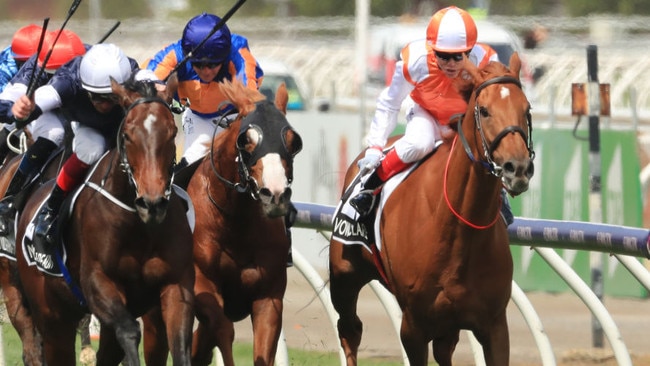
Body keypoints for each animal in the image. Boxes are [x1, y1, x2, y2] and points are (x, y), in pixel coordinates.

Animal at [14, 73, 192, 366]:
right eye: (128, 135)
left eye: (172, 133)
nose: (152, 204)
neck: (139, 226)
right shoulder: (97, 282)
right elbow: (130, 331)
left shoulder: (176, 284)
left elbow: (180, 345)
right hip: (51, 316)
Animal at [185, 78, 302, 364]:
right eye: (246, 140)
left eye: (293, 141)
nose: (275, 194)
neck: (235, 222)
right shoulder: (202, 282)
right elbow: (223, 330)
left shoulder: (269, 296)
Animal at [332, 53, 536, 364]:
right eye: (485, 110)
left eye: (526, 109)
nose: (519, 168)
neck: (457, 228)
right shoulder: (413, 327)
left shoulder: (494, 325)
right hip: (344, 277)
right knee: (350, 330)